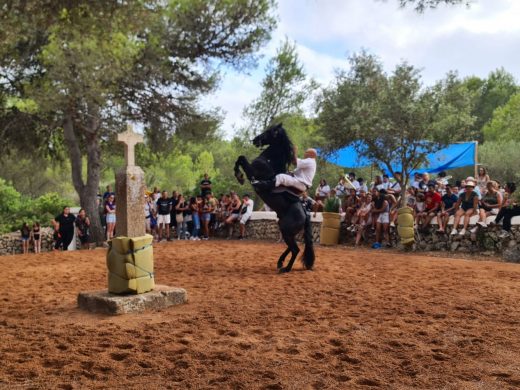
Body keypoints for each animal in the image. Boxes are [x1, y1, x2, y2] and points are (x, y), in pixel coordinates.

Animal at [235, 123, 314, 272]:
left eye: (269, 132)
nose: (255, 139)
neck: (268, 161)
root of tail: (305, 215)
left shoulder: (252, 170)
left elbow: (241, 158)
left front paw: (239, 176)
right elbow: (240, 158)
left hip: (286, 231)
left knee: (295, 249)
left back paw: (286, 268)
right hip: (287, 231)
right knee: (292, 248)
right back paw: (280, 262)